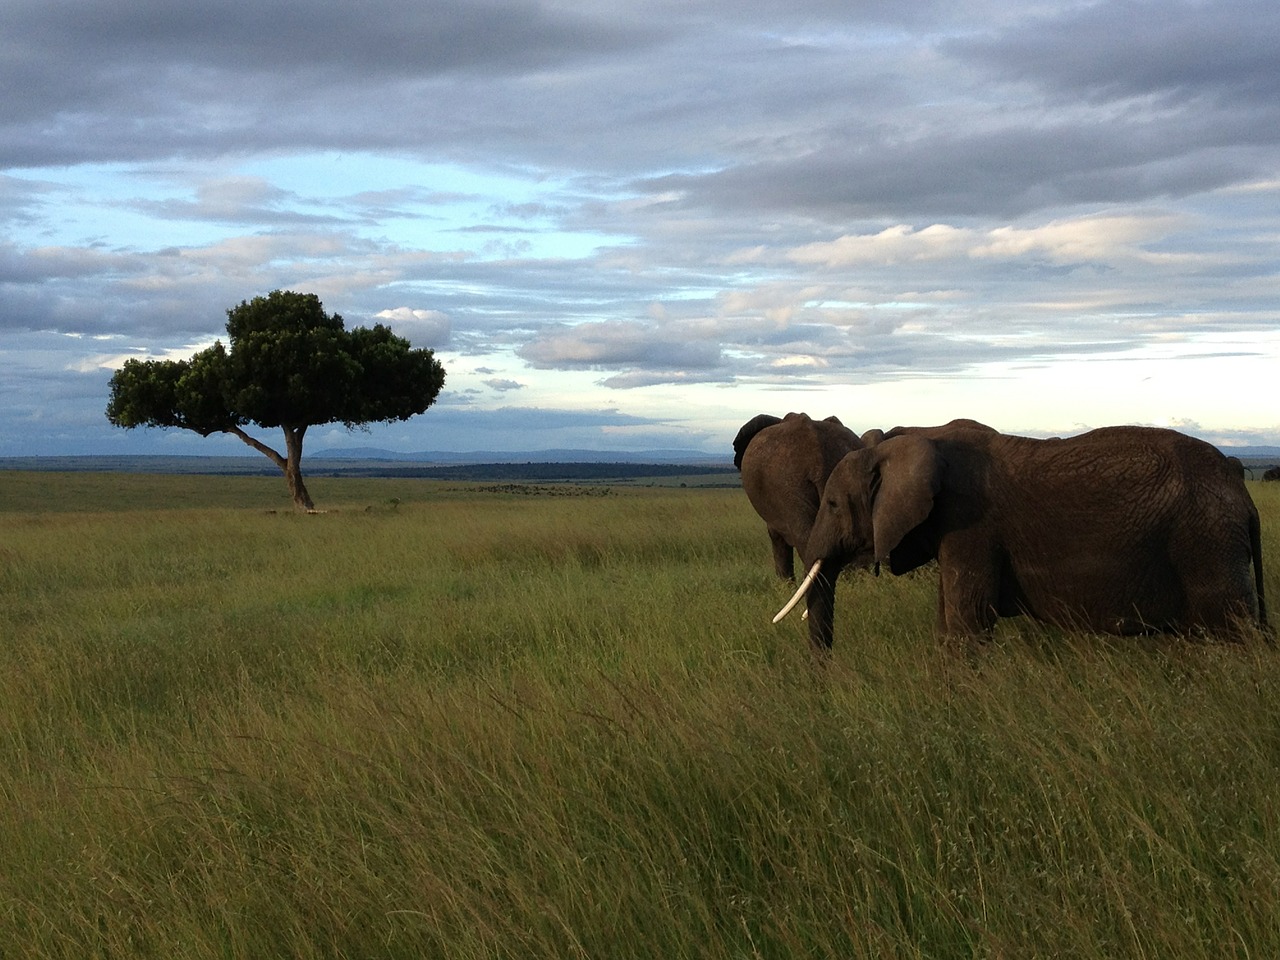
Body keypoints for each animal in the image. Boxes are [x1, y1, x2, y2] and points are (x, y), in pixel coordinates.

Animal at [773, 419, 1264, 647]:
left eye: (832, 505)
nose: (823, 680)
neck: (919, 438)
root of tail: (1242, 491)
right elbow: (947, 621)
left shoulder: (971, 526)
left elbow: (968, 623)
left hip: (1206, 544)